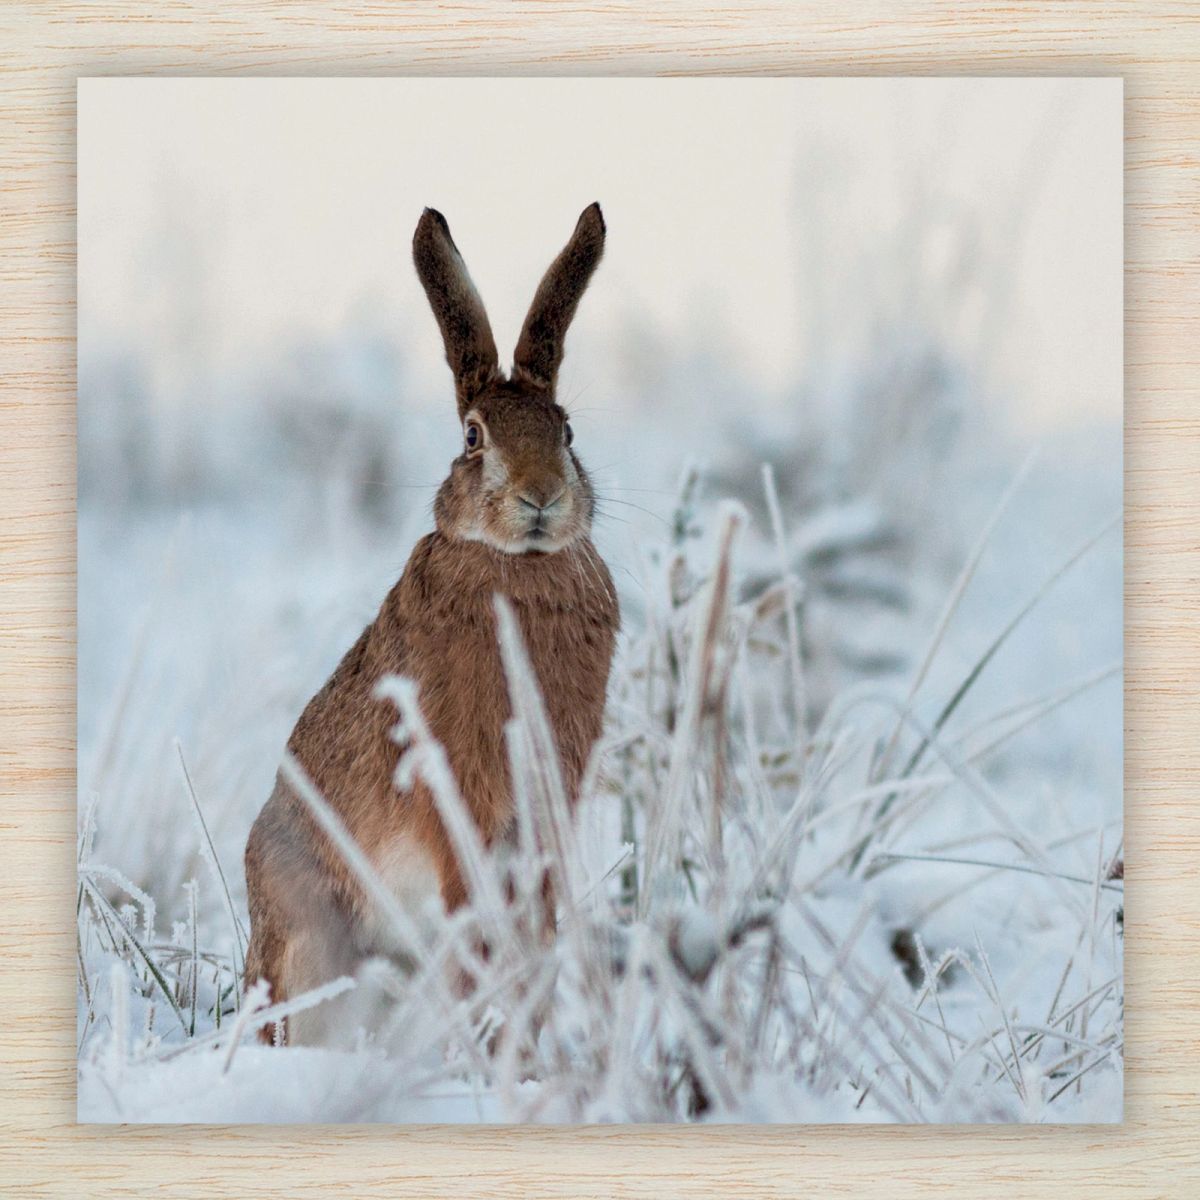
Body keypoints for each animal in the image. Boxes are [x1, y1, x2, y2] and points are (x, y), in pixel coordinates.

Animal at [243, 204, 619, 1045]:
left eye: (568, 432)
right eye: (474, 437)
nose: (542, 496)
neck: (517, 564)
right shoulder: (454, 786)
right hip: (310, 943)